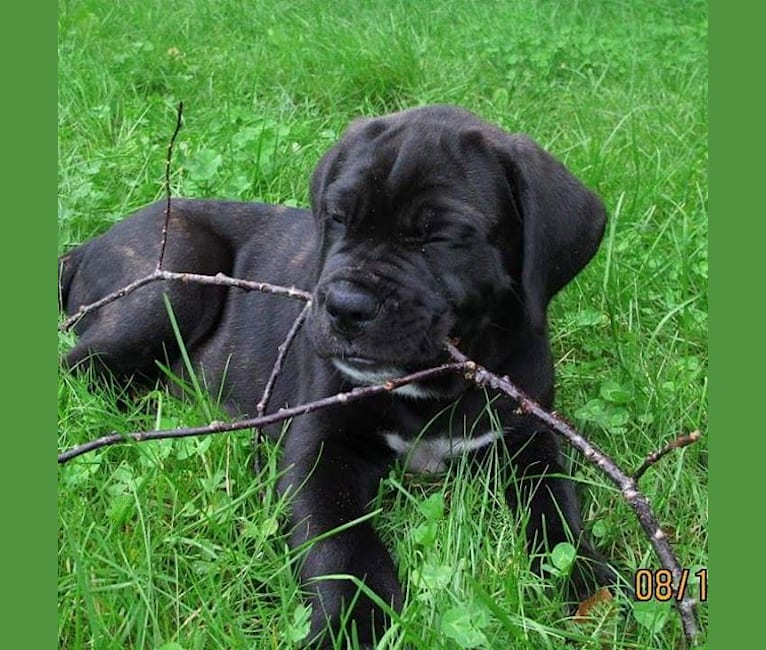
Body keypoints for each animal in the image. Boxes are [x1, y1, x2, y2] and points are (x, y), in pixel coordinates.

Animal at [57, 105, 616, 644]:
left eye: (441, 236)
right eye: (338, 218)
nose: (346, 305)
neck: (431, 388)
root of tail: (89, 244)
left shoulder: (530, 441)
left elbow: (556, 510)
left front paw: (587, 584)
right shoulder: (317, 450)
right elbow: (340, 544)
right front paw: (353, 622)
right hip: (174, 277)